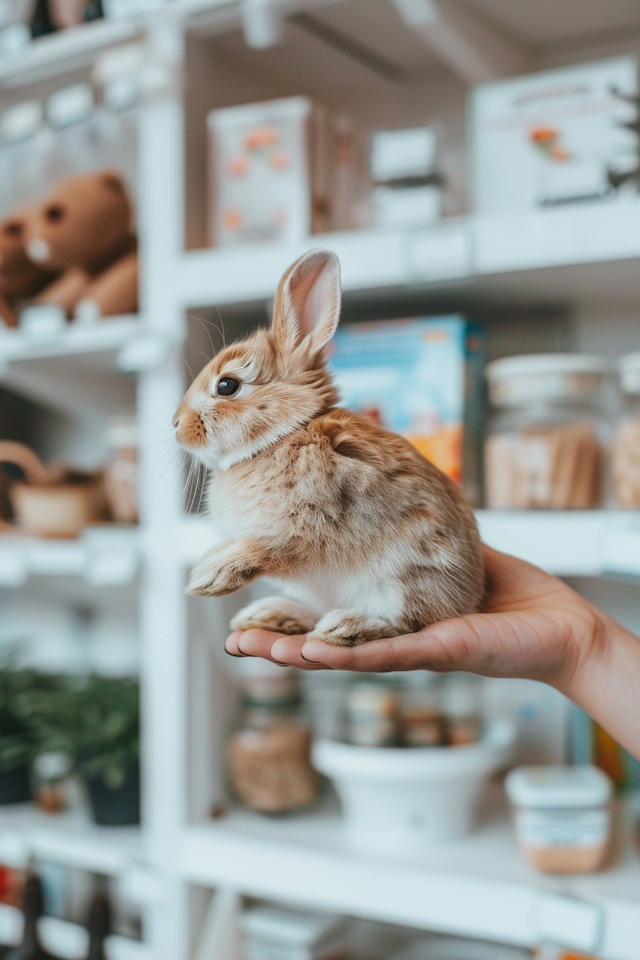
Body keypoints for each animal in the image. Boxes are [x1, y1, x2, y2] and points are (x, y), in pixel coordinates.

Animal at [172, 248, 482, 644]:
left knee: (405, 623)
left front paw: (208, 577)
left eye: (227, 386)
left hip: (401, 582)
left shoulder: (303, 525)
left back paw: (344, 626)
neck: (284, 435)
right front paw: (210, 559)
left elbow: (266, 549)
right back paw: (272, 614)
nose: (176, 427)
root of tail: (469, 602)